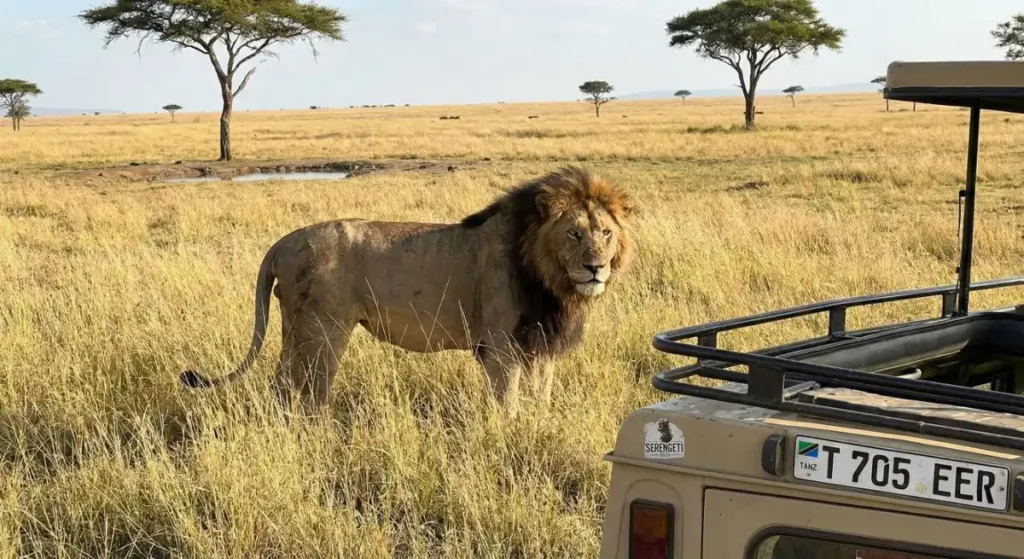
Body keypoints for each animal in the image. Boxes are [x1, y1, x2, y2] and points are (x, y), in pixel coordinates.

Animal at [180, 165, 635, 416]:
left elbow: (540, 394)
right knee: (311, 392)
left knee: (282, 383)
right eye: (574, 234)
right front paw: (510, 434)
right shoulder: (500, 344)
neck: (550, 280)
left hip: (295, 329)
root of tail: (283, 242)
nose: (595, 268)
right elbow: (507, 400)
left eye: (606, 233)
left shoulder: (539, 342)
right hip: (323, 331)